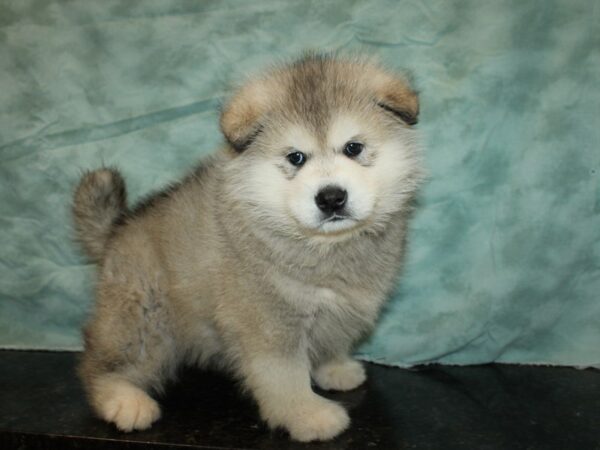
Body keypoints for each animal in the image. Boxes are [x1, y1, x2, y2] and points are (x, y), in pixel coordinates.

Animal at [72, 54, 424, 442]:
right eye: (296, 157)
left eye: (353, 148)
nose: (331, 197)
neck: (322, 246)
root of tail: (115, 230)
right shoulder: (268, 323)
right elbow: (285, 377)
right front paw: (308, 415)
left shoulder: (340, 308)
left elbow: (332, 340)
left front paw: (334, 369)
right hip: (143, 317)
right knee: (100, 364)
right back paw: (122, 400)